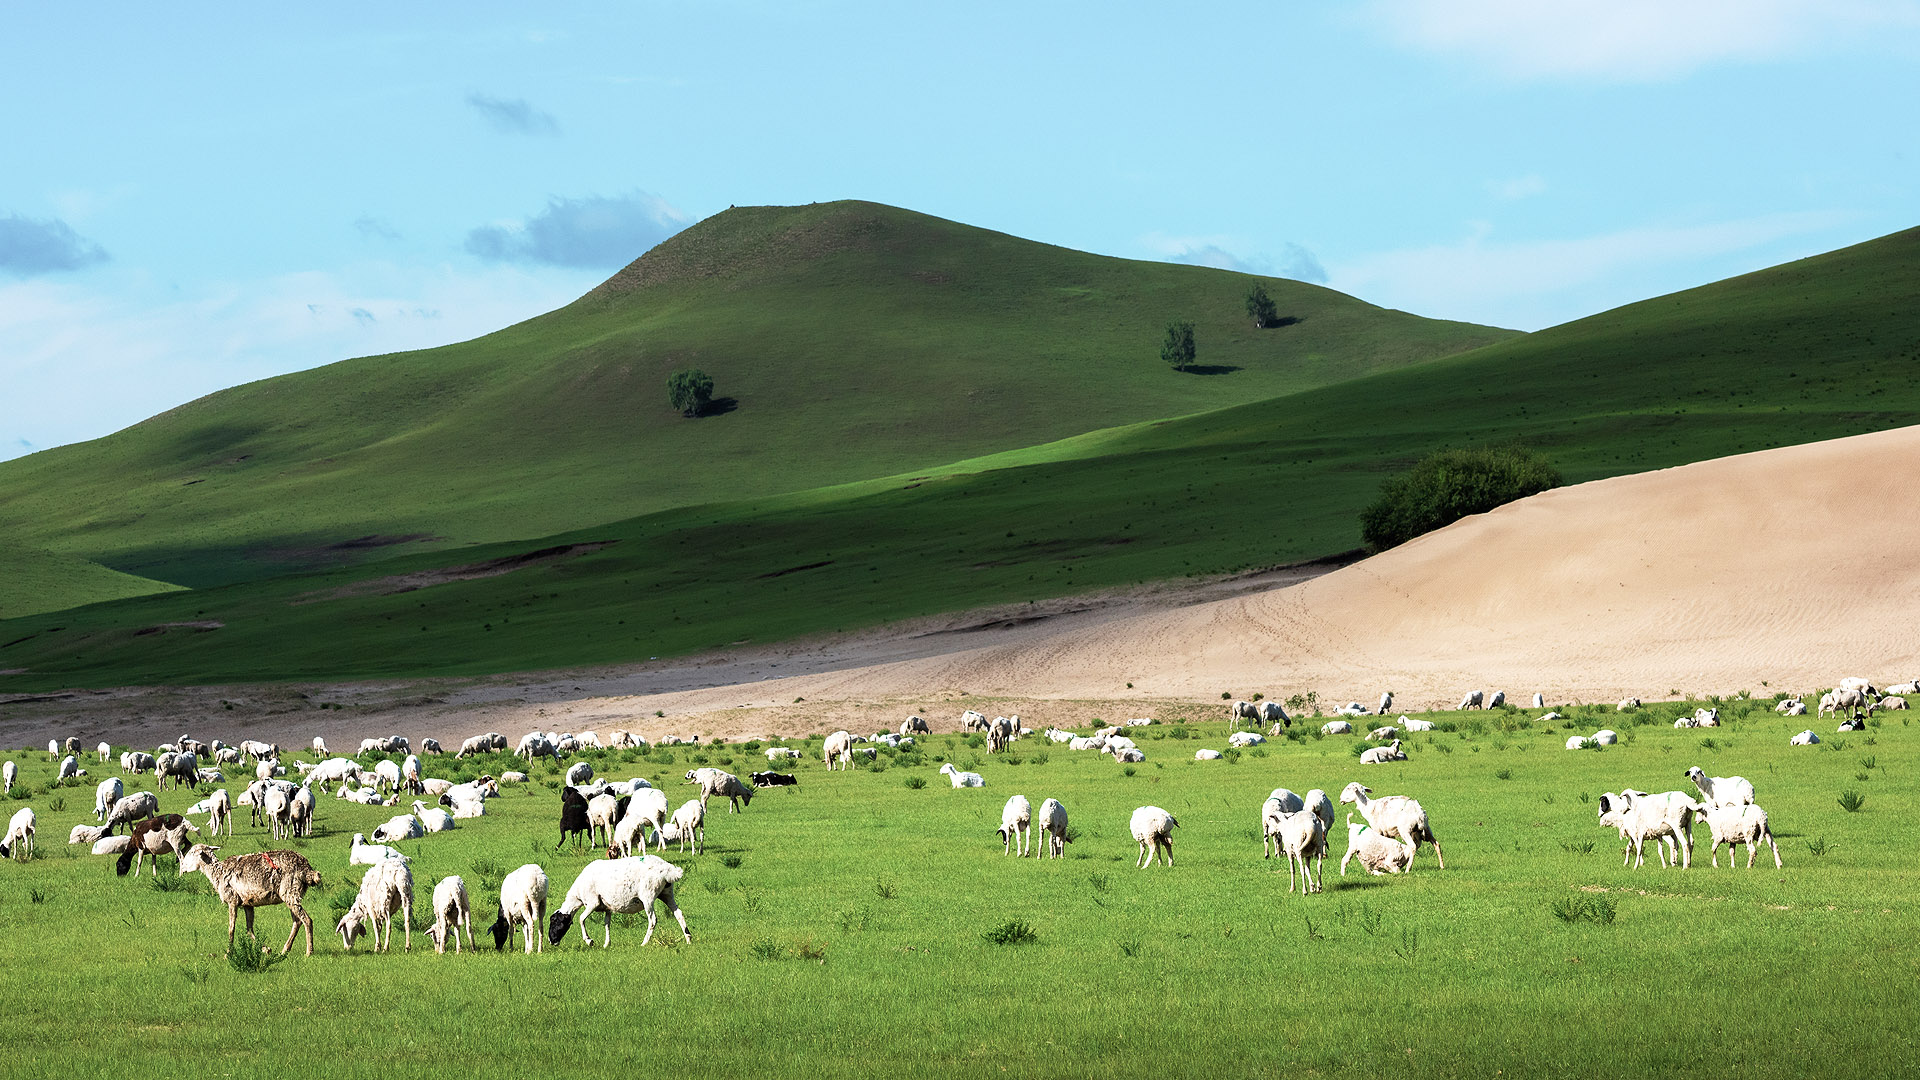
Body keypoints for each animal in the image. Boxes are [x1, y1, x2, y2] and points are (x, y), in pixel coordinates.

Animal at [178, 841, 324, 949]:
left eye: (191, 852)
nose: (182, 867)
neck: (217, 873)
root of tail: (307, 869)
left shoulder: (232, 900)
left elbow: (231, 928)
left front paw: (228, 953)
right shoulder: (248, 904)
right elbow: (249, 930)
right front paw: (265, 949)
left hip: (290, 892)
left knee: (306, 920)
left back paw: (309, 952)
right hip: (291, 895)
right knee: (297, 921)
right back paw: (285, 950)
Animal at [549, 853, 691, 945]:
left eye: (554, 921)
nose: (551, 941)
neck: (577, 894)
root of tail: (667, 869)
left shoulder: (592, 902)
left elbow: (581, 919)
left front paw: (589, 941)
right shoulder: (607, 907)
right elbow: (607, 924)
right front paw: (607, 944)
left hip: (648, 896)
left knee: (653, 920)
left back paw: (644, 943)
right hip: (667, 894)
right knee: (679, 914)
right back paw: (688, 939)